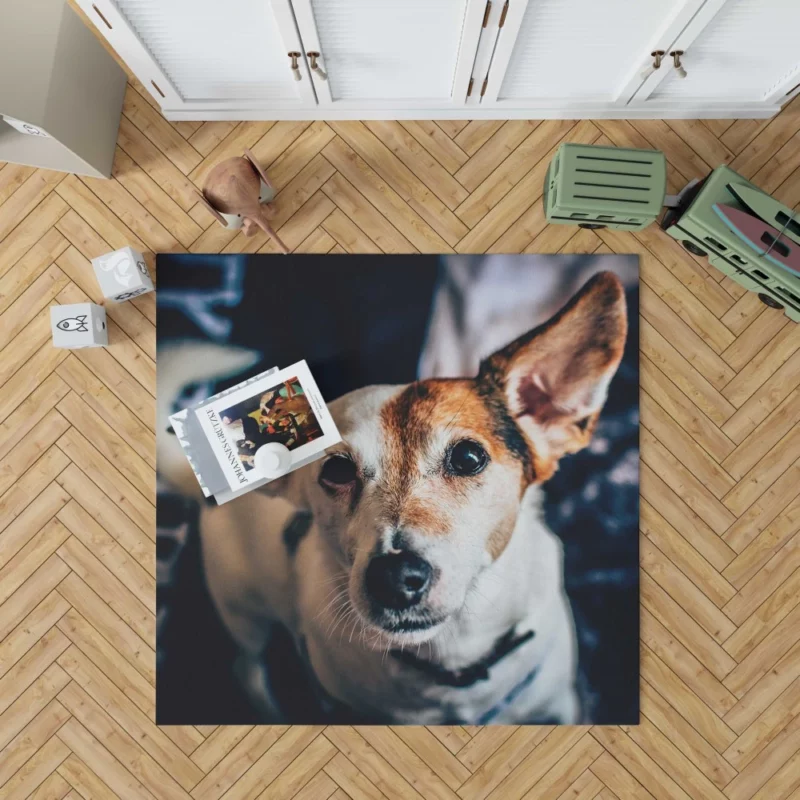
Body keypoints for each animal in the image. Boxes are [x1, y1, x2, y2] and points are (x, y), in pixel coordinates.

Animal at [170, 270, 632, 724]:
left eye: (468, 457)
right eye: (336, 470)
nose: (395, 577)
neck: (450, 663)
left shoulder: (560, 704)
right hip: (243, 611)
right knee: (247, 667)